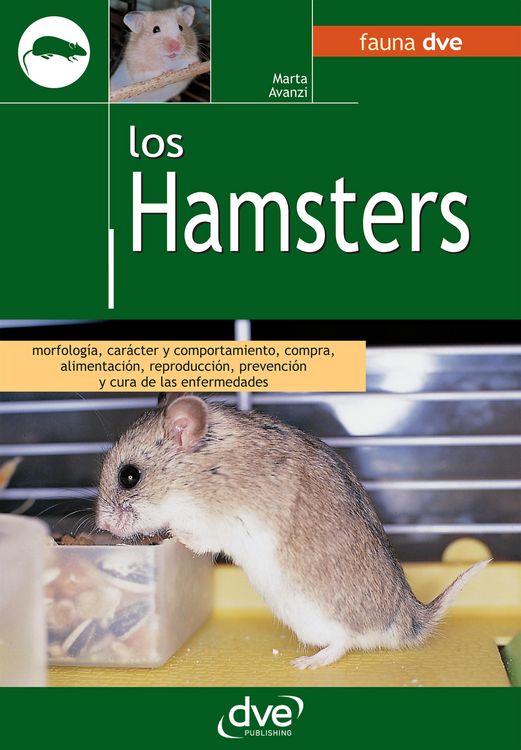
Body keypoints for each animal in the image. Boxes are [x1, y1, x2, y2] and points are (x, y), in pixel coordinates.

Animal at [96, 394, 490, 669]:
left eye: (129, 476)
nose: (102, 525)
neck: (197, 469)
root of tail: (412, 621)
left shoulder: (218, 522)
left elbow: (195, 536)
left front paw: (171, 535)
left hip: (316, 617)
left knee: (343, 643)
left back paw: (305, 663)